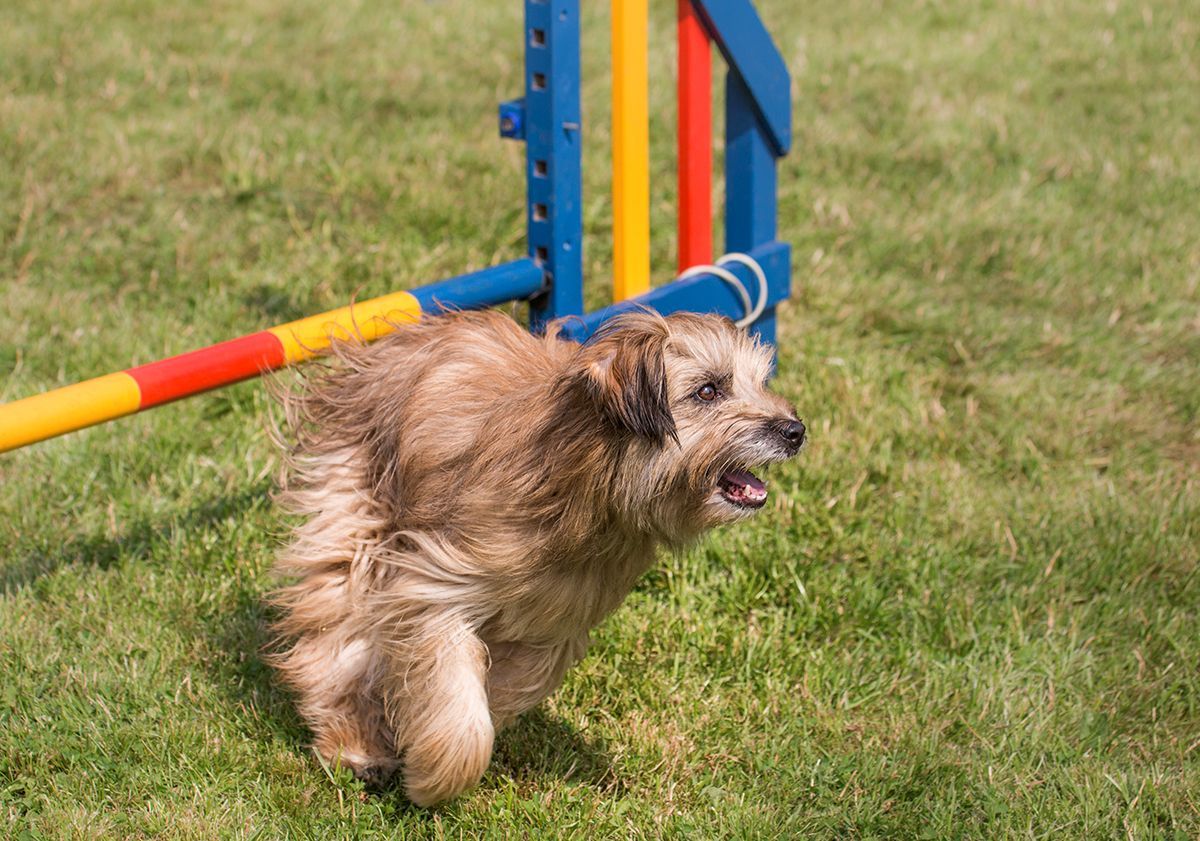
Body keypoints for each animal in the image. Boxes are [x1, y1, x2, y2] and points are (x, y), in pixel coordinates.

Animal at [267, 304, 801, 801]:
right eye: (708, 391)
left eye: (760, 381)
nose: (795, 431)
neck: (592, 493)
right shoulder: (433, 584)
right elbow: (460, 705)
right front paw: (435, 778)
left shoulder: (555, 624)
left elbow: (506, 685)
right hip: (357, 510)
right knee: (334, 636)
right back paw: (354, 743)